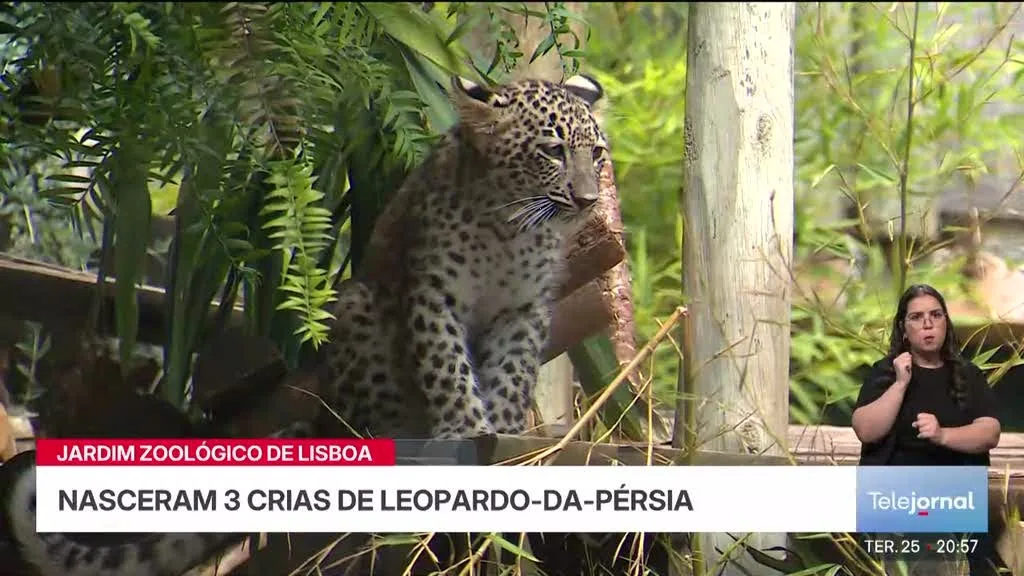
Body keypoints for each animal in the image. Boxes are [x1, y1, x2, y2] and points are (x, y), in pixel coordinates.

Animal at [0, 73, 608, 576]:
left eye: (597, 154)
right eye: (553, 152)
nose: (588, 199)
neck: (512, 228)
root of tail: (325, 420)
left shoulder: (523, 309)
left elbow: (510, 373)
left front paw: (503, 431)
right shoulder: (432, 290)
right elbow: (446, 366)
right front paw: (464, 427)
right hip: (359, 310)